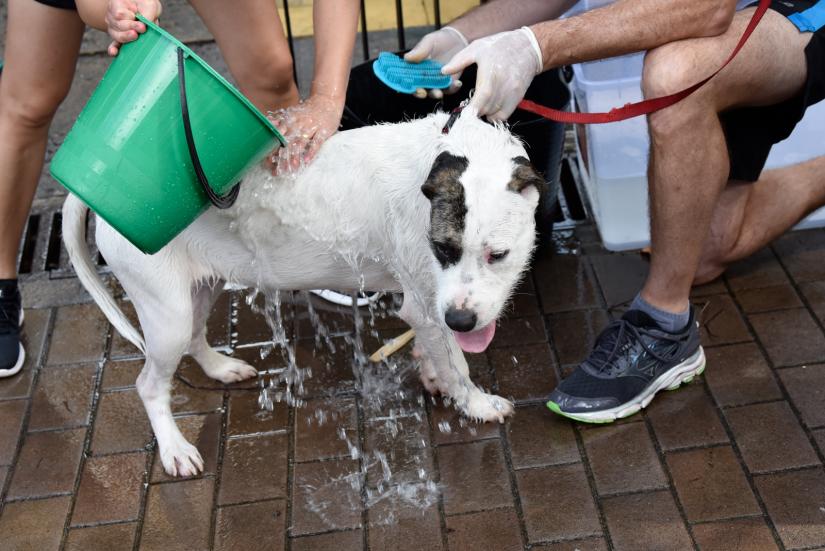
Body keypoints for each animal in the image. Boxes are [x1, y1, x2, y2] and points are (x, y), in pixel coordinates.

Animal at [62, 109, 540, 478]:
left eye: (498, 254)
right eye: (443, 248)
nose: (462, 321)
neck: (444, 154)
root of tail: (100, 188)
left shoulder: (431, 309)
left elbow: (441, 351)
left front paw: (433, 371)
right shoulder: (425, 306)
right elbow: (458, 366)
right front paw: (476, 403)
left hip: (199, 290)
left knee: (196, 337)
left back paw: (221, 368)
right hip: (166, 314)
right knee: (148, 384)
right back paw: (175, 449)